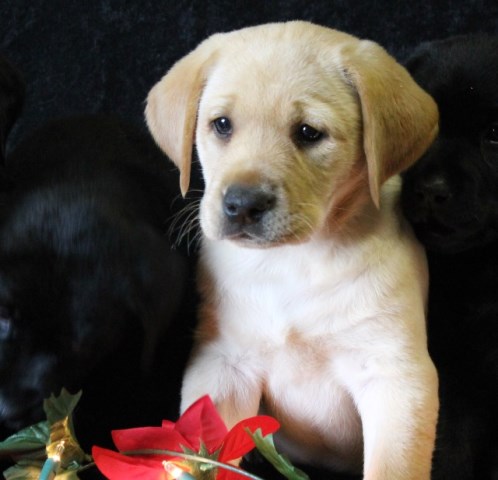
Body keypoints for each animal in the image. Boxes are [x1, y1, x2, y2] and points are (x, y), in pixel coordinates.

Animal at [146, 19, 438, 480]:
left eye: (308, 132)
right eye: (222, 124)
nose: (242, 204)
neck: (292, 262)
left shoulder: (395, 375)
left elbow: (393, 466)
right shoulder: (223, 364)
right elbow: (206, 454)